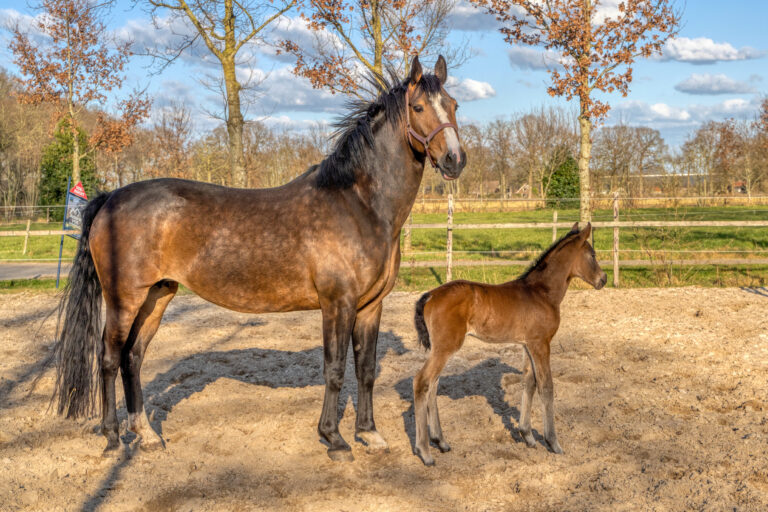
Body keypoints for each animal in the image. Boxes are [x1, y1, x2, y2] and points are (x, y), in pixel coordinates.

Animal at [51, 55, 466, 461]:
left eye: (454, 105)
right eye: (418, 107)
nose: (454, 160)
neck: (358, 204)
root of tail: (111, 197)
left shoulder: (369, 306)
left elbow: (365, 370)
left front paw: (370, 434)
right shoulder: (338, 304)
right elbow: (334, 370)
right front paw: (334, 439)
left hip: (158, 295)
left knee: (133, 357)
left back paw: (147, 435)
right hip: (124, 300)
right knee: (108, 358)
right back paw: (112, 438)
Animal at [411, 223, 606, 466]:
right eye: (593, 255)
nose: (603, 279)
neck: (542, 292)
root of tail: (430, 295)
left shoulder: (527, 344)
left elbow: (529, 382)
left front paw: (528, 436)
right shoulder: (541, 344)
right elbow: (546, 387)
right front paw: (553, 442)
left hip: (441, 348)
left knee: (433, 384)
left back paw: (441, 442)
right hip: (446, 347)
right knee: (422, 382)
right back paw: (425, 452)